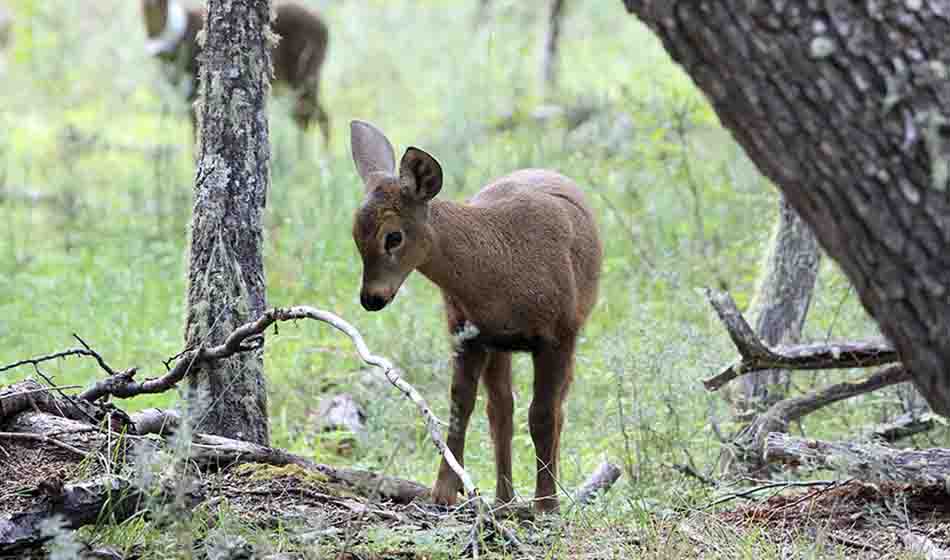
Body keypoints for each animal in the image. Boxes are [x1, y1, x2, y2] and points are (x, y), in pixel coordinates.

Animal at [141, 0, 330, 149]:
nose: (155, 49)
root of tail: (324, 26)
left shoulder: (194, 89)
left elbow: (196, 134)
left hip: (304, 77)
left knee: (321, 118)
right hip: (288, 86)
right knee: (304, 119)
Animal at [348, 121, 604, 512]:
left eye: (393, 237)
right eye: (355, 235)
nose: (371, 298)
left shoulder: (556, 335)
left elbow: (543, 416)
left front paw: (547, 506)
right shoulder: (465, 332)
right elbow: (460, 406)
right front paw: (443, 492)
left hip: (570, 329)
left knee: (555, 409)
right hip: (498, 345)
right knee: (501, 410)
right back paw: (504, 500)